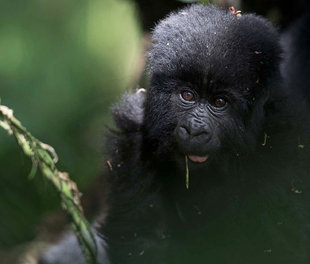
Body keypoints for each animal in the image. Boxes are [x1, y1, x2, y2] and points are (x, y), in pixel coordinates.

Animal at [40, 4, 310, 264]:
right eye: (188, 95)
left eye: (219, 102)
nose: (194, 130)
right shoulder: (133, 134)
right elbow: (145, 241)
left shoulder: (286, 148)